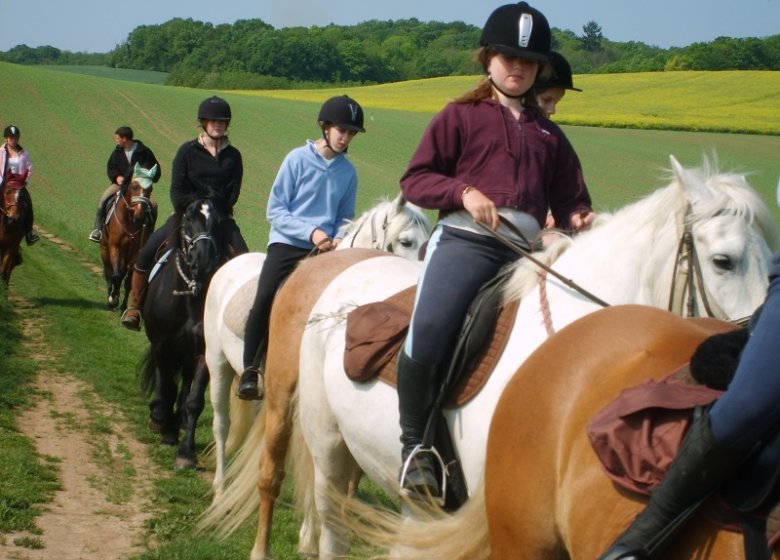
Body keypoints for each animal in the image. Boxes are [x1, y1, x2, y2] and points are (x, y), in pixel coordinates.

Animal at [100, 162, 158, 310]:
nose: (139, 215)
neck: (130, 221)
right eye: (134, 186)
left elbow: (128, 280)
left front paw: (123, 306)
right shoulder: (115, 247)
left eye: (150, 188)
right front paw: (112, 299)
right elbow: (115, 275)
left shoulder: (135, 253)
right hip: (105, 248)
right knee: (109, 271)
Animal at [139, 199, 227, 470]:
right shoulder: (162, 345)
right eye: (188, 218)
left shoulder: (204, 353)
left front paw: (186, 452)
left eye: (219, 221)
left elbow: (194, 400)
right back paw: (160, 418)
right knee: (163, 379)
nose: (204, 261)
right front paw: (166, 431)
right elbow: (166, 386)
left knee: (186, 384)